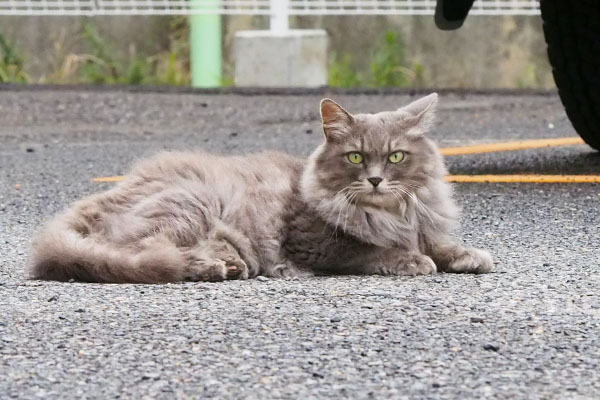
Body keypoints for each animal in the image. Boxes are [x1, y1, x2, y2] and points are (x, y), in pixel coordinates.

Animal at [29, 94, 492, 282]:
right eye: (356, 158)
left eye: (395, 157)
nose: (376, 179)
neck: (392, 213)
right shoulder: (313, 243)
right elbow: (370, 251)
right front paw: (410, 260)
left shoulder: (423, 224)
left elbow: (440, 244)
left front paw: (469, 256)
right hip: (190, 204)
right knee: (148, 254)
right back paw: (213, 268)